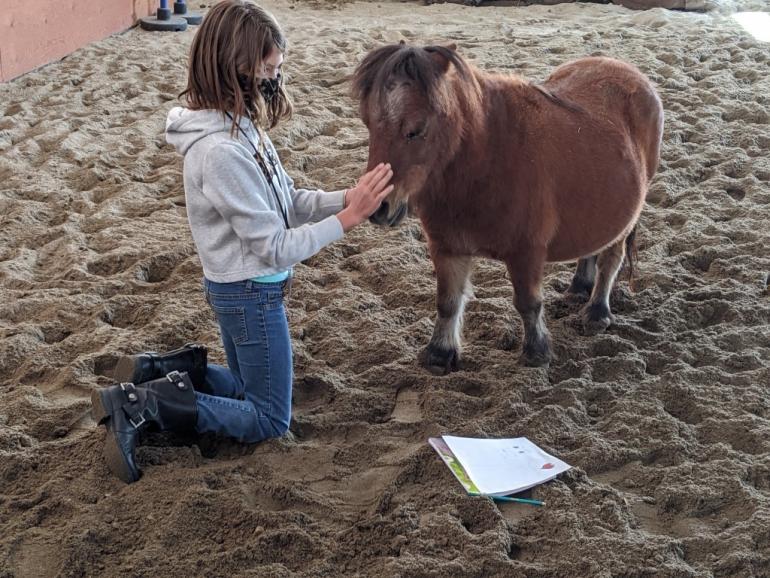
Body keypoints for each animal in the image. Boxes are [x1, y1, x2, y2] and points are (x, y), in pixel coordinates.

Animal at [352, 44, 660, 368]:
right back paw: (579, 288)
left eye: (415, 129)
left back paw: (597, 310)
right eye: (368, 123)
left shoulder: (527, 252)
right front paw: (440, 353)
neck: (485, 160)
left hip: (626, 219)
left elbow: (528, 303)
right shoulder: (447, 248)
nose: (379, 208)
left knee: (611, 258)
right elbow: (448, 302)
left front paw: (537, 351)